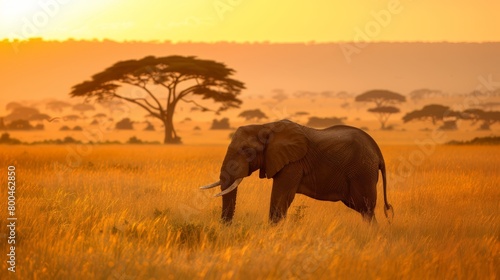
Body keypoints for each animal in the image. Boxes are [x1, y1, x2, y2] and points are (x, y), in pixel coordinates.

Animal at [201, 119, 392, 224]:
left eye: (247, 151)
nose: (226, 227)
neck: (265, 126)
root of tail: (378, 152)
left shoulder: (293, 163)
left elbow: (281, 197)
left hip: (362, 172)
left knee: (366, 209)